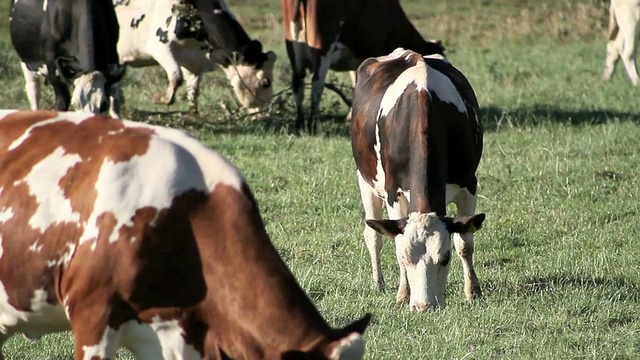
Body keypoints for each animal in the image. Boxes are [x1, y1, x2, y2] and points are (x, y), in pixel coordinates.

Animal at [111, 0, 276, 115]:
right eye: (266, 82)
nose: (265, 111)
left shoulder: (194, 62)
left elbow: (193, 91)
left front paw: (193, 115)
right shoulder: (161, 48)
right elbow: (176, 77)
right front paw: (160, 99)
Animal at [280, 0, 444, 133]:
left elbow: (356, 85)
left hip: (293, 49)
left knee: (298, 84)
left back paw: (300, 123)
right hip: (323, 49)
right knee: (317, 85)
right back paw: (313, 123)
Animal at [350, 48, 484, 312]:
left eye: (445, 258)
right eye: (406, 257)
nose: (424, 306)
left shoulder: (469, 185)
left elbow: (465, 242)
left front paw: (473, 291)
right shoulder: (393, 193)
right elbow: (395, 241)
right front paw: (403, 294)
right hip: (365, 181)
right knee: (373, 234)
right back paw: (378, 283)